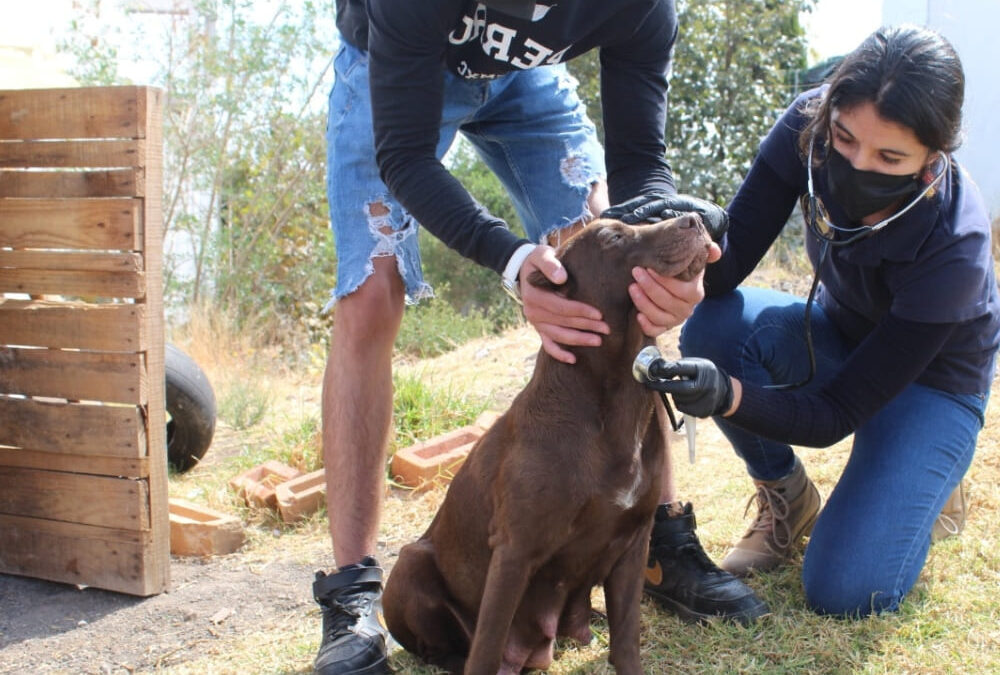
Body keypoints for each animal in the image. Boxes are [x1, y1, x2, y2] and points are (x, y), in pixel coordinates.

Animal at [380, 217, 712, 675]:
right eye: (613, 237)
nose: (696, 218)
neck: (610, 398)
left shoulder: (634, 543)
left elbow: (627, 639)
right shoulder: (514, 552)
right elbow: (486, 649)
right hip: (409, 565)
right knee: (446, 646)